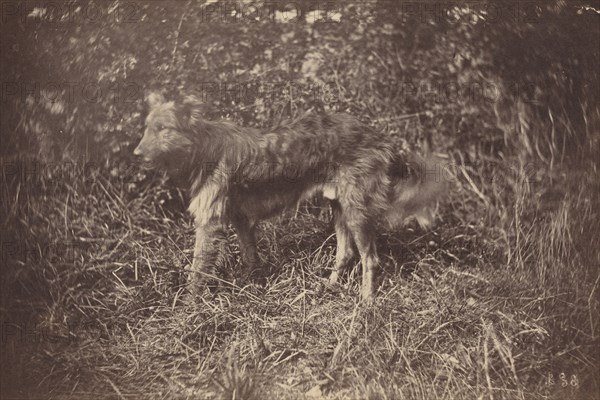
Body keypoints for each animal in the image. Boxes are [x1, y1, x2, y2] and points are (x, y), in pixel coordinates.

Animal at [136, 92, 446, 302]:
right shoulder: (241, 221)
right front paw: (250, 286)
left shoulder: (210, 223)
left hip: (356, 210)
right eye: (147, 127)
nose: (137, 154)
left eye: (162, 129)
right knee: (345, 252)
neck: (203, 147)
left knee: (370, 258)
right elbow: (250, 256)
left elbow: (197, 269)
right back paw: (329, 286)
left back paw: (366, 301)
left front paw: (189, 305)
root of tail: (381, 138)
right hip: (339, 207)